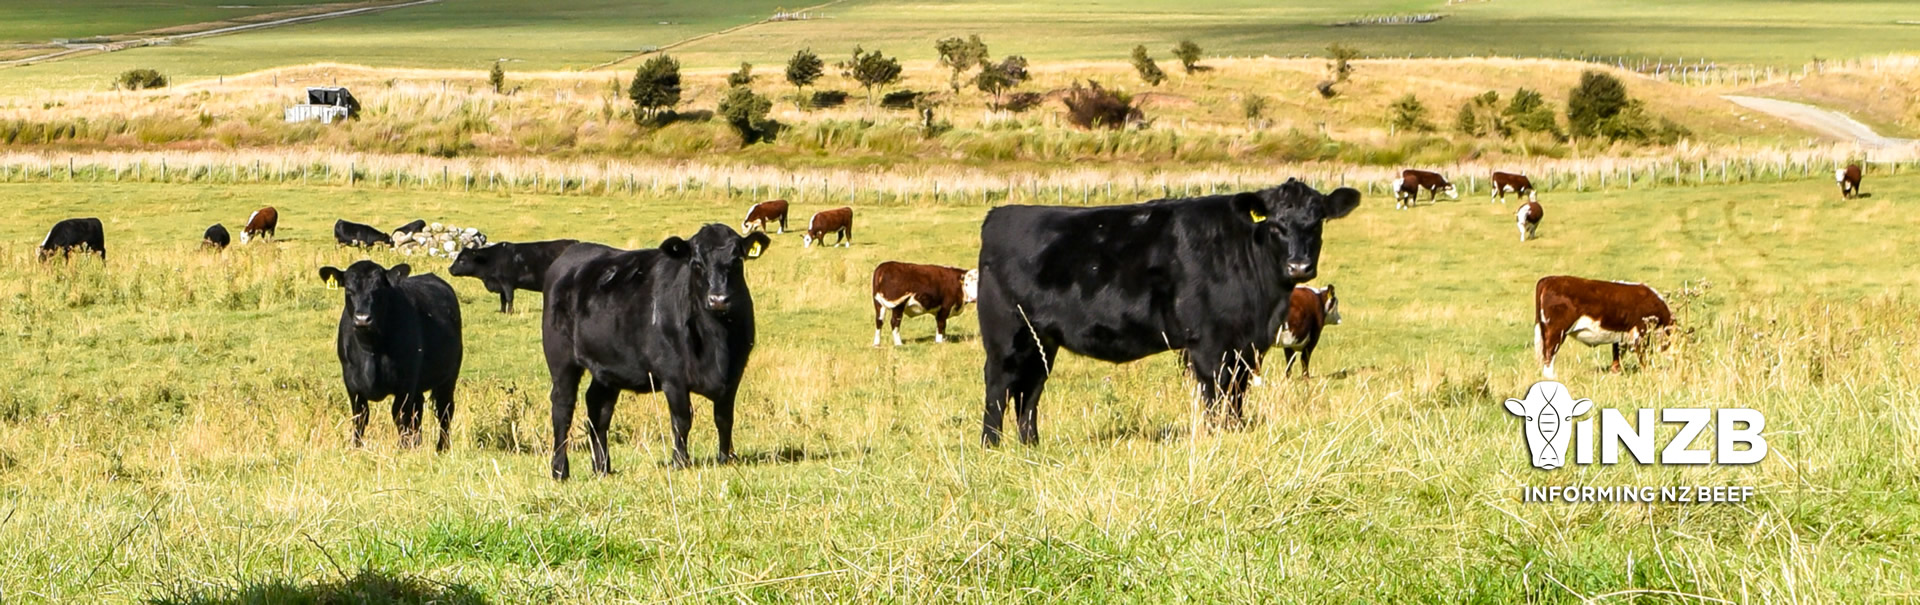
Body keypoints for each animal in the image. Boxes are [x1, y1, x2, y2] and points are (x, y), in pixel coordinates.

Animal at [318, 263, 464, 453]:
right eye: (348, 290)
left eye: (378, 289)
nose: (362, 319)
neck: (371, 349)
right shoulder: (351, 382)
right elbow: (360, 416)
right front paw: (356, 448)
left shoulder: (405, 382)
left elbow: (400, 415)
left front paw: (402, 449)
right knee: (418, 410)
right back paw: (417, 444)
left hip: (448, 377)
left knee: (444, 410)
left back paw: (442, 448)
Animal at [541, 223, 771, 478]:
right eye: (696, 264)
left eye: (737, 261)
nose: (718, 299)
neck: (718, 343)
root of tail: (572, 254)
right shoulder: (673, 376)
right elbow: (682, 420)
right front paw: (680, 461)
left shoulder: (733, 374)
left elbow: (724, 418)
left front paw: (726, 459)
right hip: (561, 360)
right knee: (563, 407)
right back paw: (560, 469)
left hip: (607, 367)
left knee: (598, 408)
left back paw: (602, 467)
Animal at [975, 180, 1367, 445]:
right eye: (1274, 224)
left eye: (1317, 222)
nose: (1299, 266)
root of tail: (1001, 213)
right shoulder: (1209, 344)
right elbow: (1216, 394)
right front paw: (1217, 436)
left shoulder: (1247, 346)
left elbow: (1237, 394)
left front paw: (1236, 432)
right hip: (1005, 335)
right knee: (998, 386)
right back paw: (991, 446)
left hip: (1042, 339)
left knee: (1029, 390)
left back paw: (1031, 445)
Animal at [1536, 276, 1674, 380]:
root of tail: (1549, 279)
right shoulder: (1640, 332)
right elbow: (1643, 357)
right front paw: (1648, 373)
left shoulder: (1621, 335)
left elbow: (1617, 355)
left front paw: (1615, 373)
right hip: (1556, 330)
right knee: (1549, 353)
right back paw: (1551, 376)